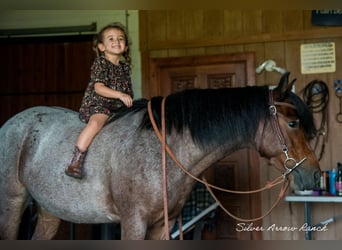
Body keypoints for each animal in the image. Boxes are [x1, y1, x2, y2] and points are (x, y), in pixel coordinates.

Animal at [0, 73, 320, 240]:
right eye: (293, 123)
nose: (315, 174)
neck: (163, 149)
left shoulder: (163, 226)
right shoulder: (132, 224)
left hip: (48, 211)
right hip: (13, 204)